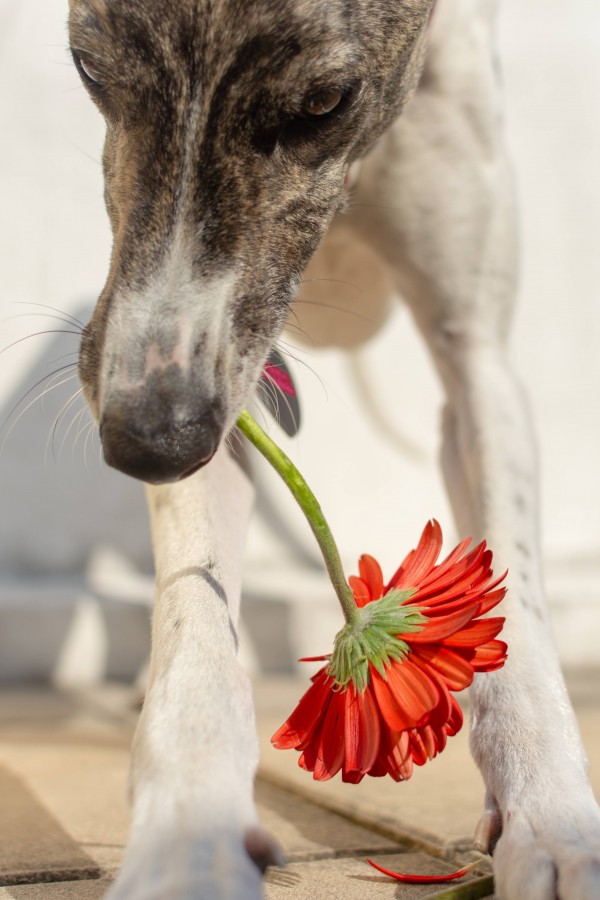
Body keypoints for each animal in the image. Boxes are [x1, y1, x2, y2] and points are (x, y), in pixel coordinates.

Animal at [67, 1, 600, 900]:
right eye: (89, 68)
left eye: (326, 101)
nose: (148, 442)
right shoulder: (192, 369)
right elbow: (194, 615)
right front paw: (188, 836)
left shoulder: (478, 364)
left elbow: (520, 609)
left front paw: (557, 819)